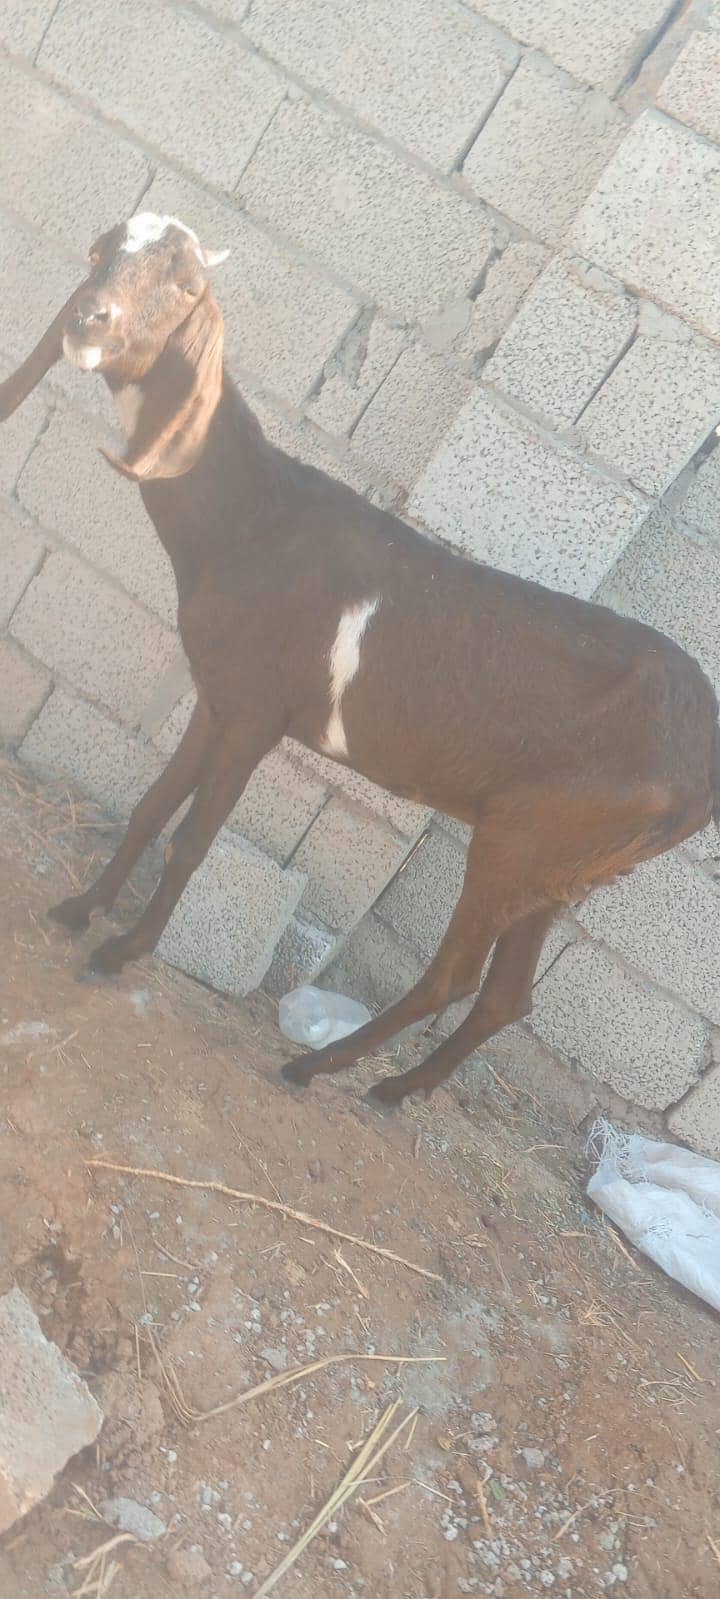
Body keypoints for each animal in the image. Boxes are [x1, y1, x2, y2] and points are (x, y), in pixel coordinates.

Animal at [2, 211, 719, 1110]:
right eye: (102, 250)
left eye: (188, 286)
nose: (87, 319)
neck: (256, 519)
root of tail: (699, 778)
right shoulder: (219, 694)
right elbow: (152, 805)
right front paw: (77, 909)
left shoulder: (259, 713)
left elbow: (195, 836)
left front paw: (118, 951)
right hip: (564, 870)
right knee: (507, 995)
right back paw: (396, 1089)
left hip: (519, 841)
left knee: (456, 976)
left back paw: (312, 1066)